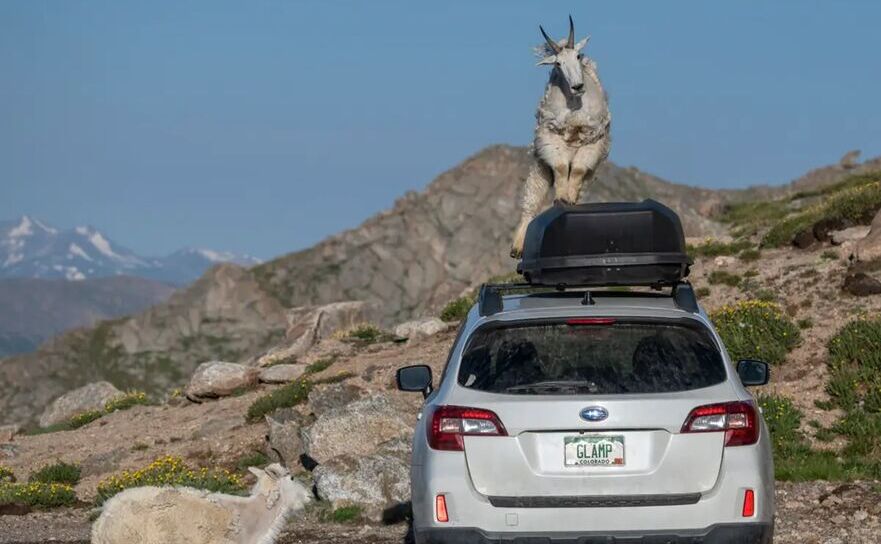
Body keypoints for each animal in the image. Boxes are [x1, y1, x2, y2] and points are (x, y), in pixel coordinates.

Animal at [508, 14, 612, 258]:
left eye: (578, 56)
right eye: (557, 63)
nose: (578, 86)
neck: (574, 104)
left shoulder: (592, 140)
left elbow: (578, 170)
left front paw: (568, 198)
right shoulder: (551, 137)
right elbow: (562, 167)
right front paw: (561, 197)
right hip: (539, 168)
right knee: (531, 201)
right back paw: (517, 246)